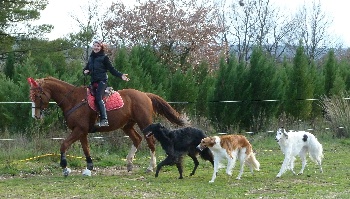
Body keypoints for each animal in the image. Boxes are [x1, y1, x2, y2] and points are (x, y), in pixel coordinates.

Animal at [27, 76, 186, 176]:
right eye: (31, 96)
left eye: (38, 96)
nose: (36, 116)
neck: (73, 100)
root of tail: (145, 95)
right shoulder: (82, 131)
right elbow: (86, 149)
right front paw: (89, 168)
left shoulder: (79, 130)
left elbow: (64, 145)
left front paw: (65, 168)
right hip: (127, 125)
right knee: (137, 139)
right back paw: (129, 163)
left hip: (145, 123)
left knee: (150, 142)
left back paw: (150, 167)